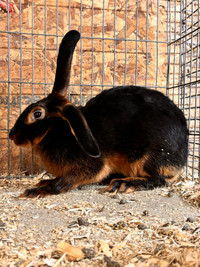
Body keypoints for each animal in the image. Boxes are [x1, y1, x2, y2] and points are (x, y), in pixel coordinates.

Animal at [8, 29, 188, 199]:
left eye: (37, 114)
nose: (11, 135)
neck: (61, 129)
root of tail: (182, 158)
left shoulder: (89, 166)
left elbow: (64, 182)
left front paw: (37, 190)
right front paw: (44, 181)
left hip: (145, 158)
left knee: (158, 180)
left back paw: (123, 184)